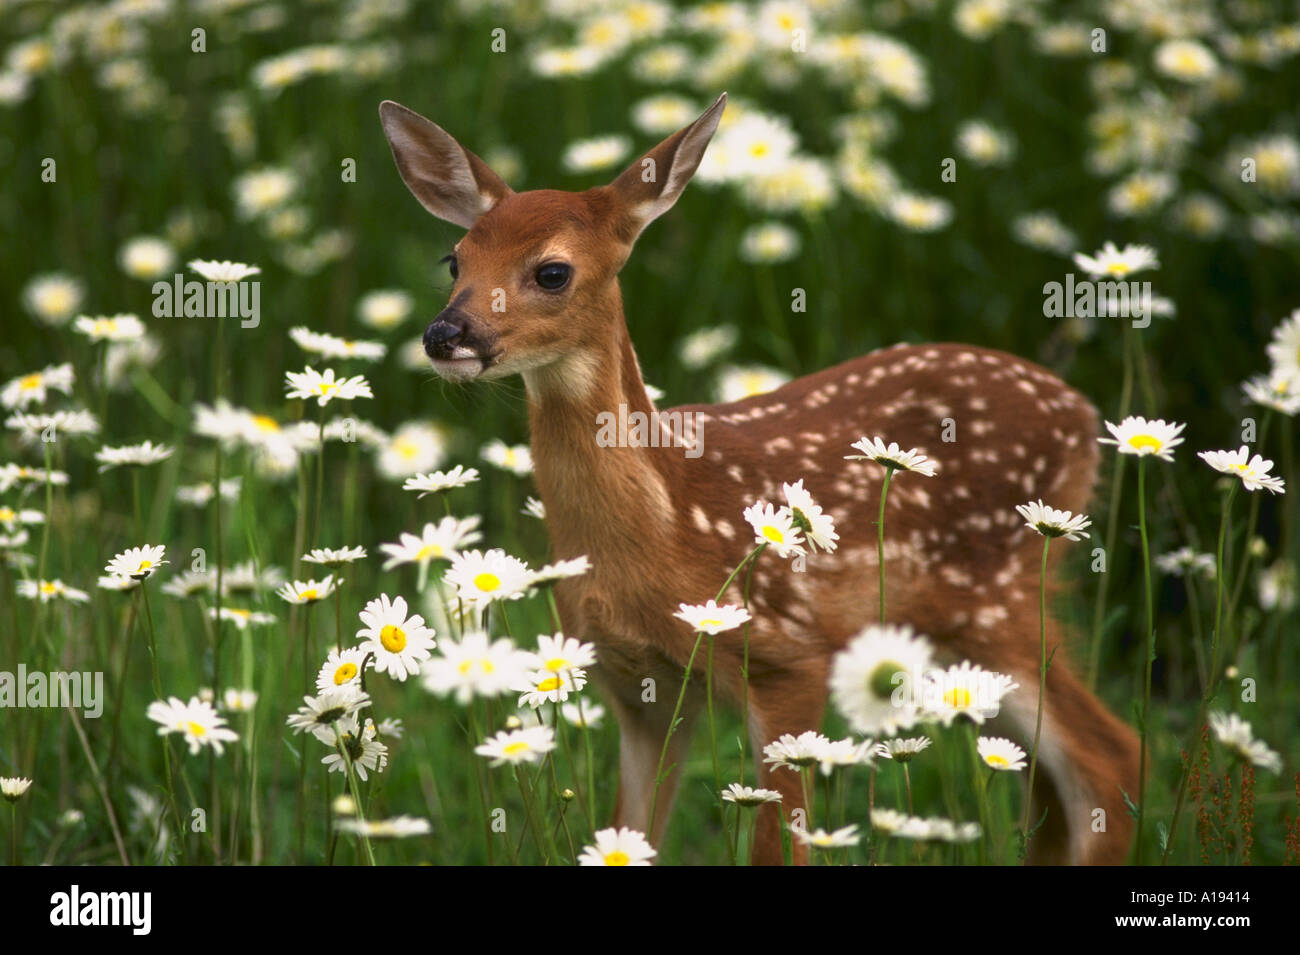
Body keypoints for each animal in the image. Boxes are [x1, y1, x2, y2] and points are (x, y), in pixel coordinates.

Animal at [379, 93, 1141, 865]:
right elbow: (628, 836)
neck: (665, 519)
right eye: (455, 259)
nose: (445, 335)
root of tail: (1085, 417)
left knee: (1112, 754)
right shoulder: (637, 685)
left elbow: (779, 844)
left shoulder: (787, 658)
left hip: (996, 601)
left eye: (552, 271)